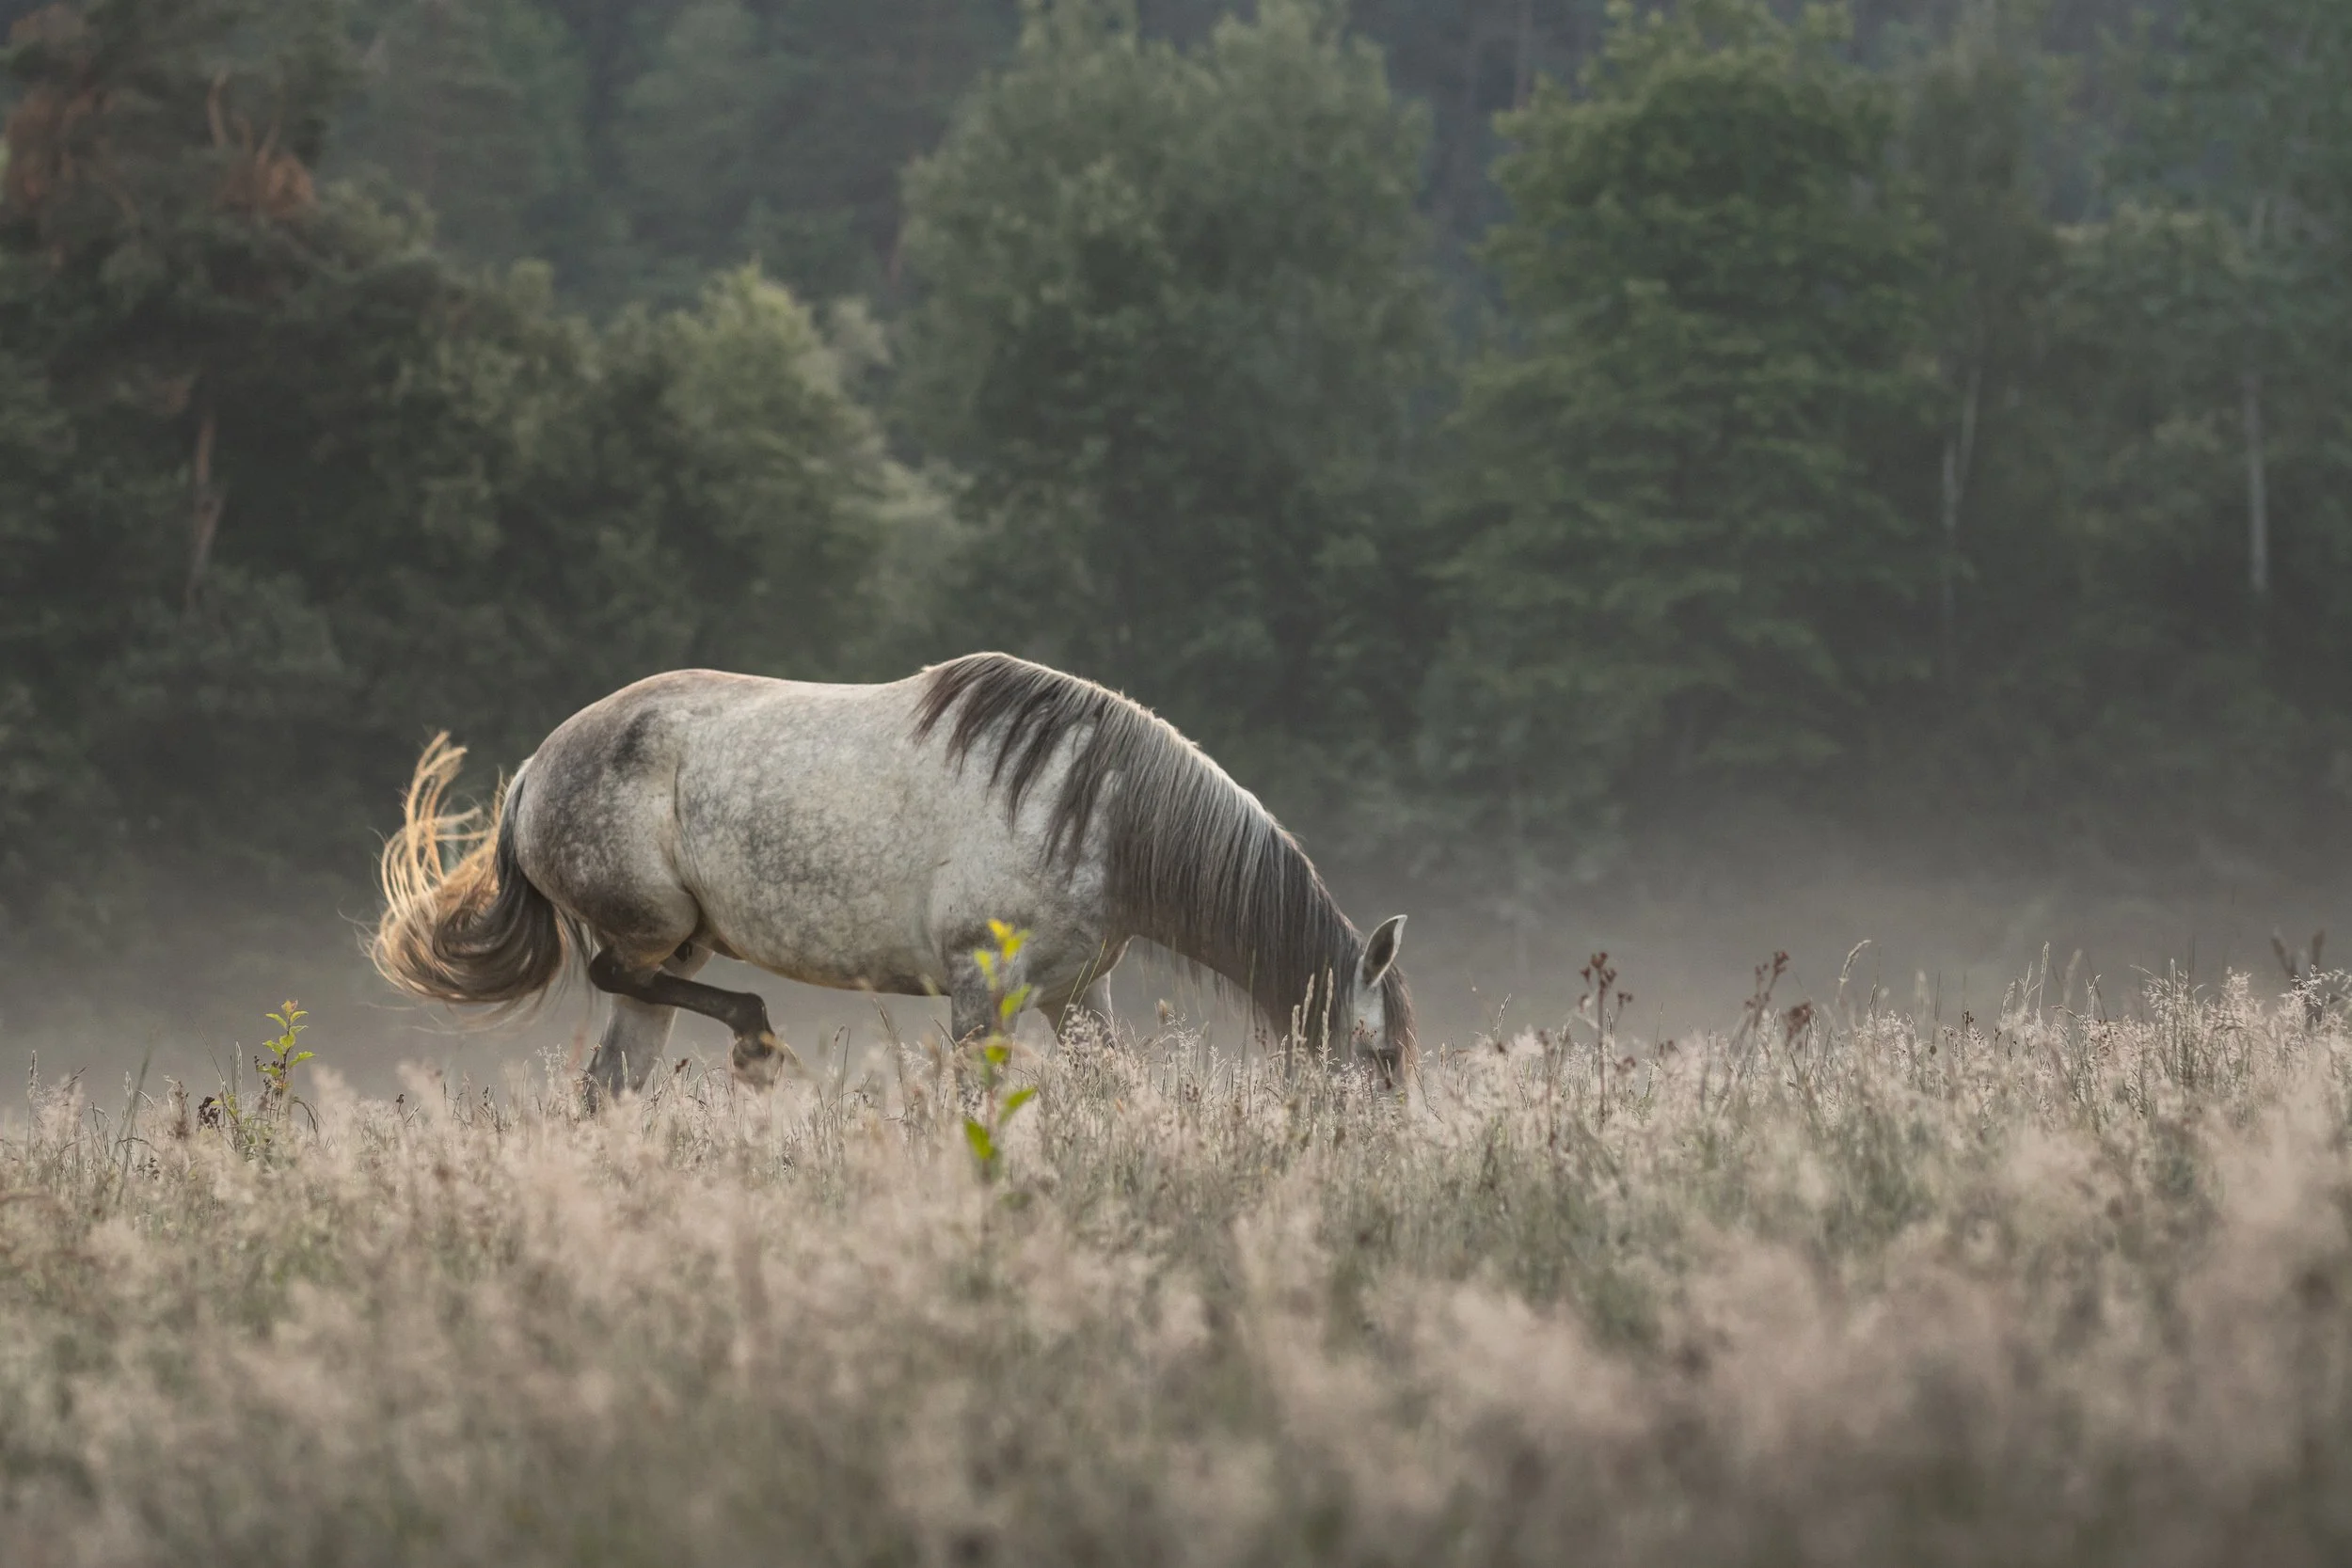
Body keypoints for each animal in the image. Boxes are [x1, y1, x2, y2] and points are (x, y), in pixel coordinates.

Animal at [372, 652, 1412, 1099]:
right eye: (1381, 1057)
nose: (1378, 1154)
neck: (1097, 810)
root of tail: (533, 773)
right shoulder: (981, 986)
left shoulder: (1077, 992)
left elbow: (1115, 1089)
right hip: (653, 926)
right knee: (614, 976)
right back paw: (758, 1041)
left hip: (669, 949)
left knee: (610, 1083)